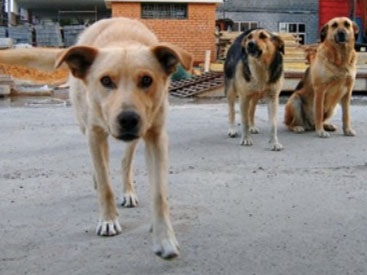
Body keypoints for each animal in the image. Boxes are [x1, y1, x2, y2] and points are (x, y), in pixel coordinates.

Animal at [0, 17, 194, 260]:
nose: (128, 119)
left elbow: (159, 195)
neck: (123, 41)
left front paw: (165, 239)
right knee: (101, 163)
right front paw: (108, 220)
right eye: (106, 81)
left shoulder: (156, 136)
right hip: (88, 127)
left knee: (125, 161)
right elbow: (104, 184)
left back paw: (127, 191)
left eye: (146, 80)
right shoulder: (94, 133)